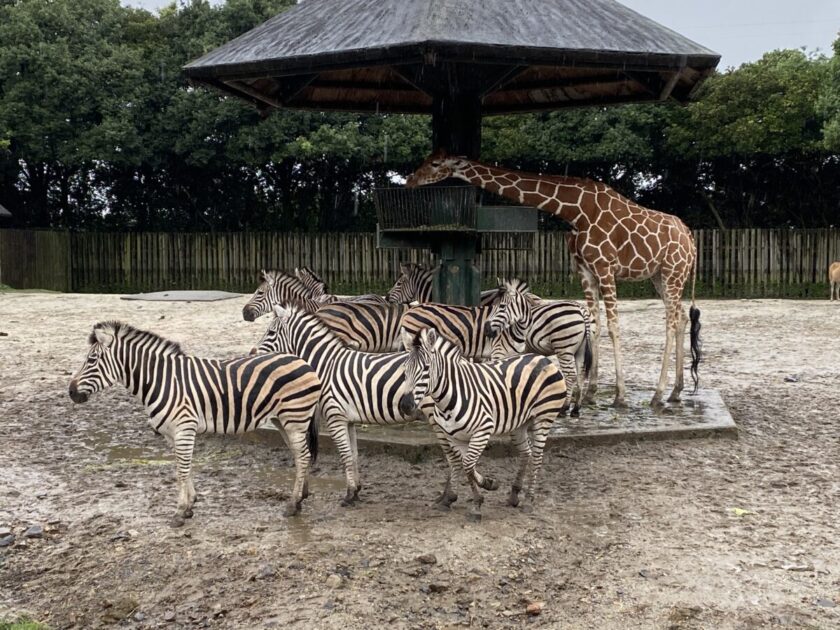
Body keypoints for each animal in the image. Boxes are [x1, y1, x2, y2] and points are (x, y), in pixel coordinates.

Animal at [66, 324, 318, 524]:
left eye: (91, 360)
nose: (71, 393)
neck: (161, 381)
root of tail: (303, 361)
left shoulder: (184, 428)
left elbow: (182, 470)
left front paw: (179, 511)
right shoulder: (171, 433)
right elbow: (182, 467)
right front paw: (189, 506)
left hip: (294, 418)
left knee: (303, 456)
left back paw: (292, 504)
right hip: (282, 420)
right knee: (300, 456)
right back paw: (301, 497)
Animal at [398, 330, 568, 524]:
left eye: (426, 368)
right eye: (404, 369)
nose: (405, 405)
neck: (449, 397)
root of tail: (544, 359)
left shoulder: (482, 430)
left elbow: (468, 464)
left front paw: (478, 501)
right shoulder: (454, 437)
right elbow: (466, 466)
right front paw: (485, 488)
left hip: (544, 417)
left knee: (538, 457)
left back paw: (529, 501)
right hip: (519, 423)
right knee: (527, 452)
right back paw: (514, 495)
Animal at [482, 278, 592, 418]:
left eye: (501, 307)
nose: (486, 330)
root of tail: (580, 309)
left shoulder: (499, 350)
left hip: (564, 348)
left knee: (570, 375)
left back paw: (564, 408)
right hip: (580, 350)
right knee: (581, 375)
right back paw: (576, 409)